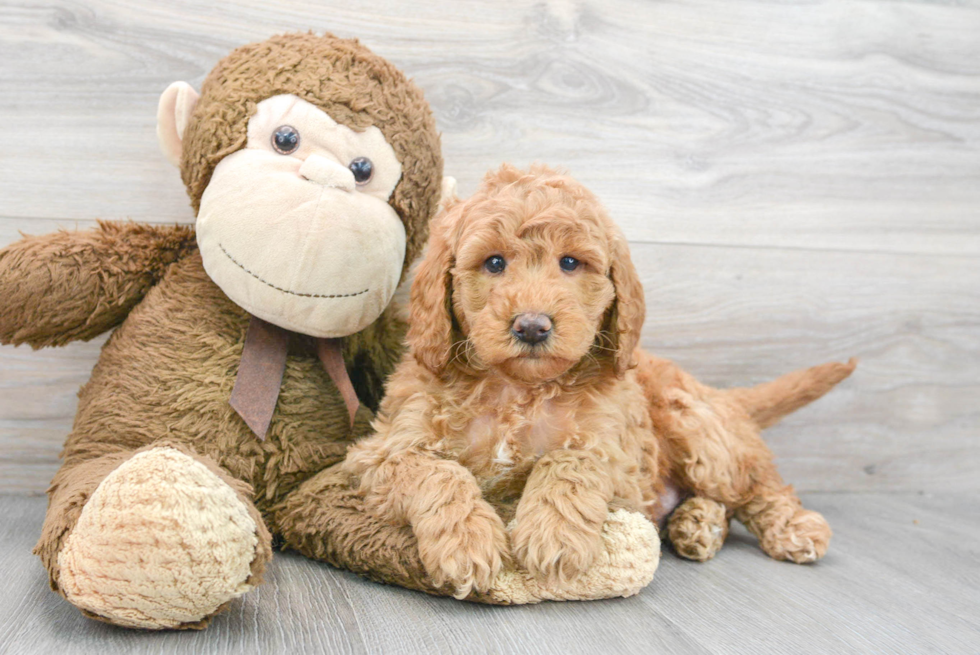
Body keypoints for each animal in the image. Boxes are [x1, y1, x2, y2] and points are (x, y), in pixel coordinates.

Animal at [340, 165, 668, 600]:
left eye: (570, 262)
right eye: (494, 263)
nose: (531, 326)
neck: (516, 389)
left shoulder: (625, 466)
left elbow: (569, 459)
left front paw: (554, 534)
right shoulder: (381, 452)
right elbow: (440, 471)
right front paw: (467, 540)